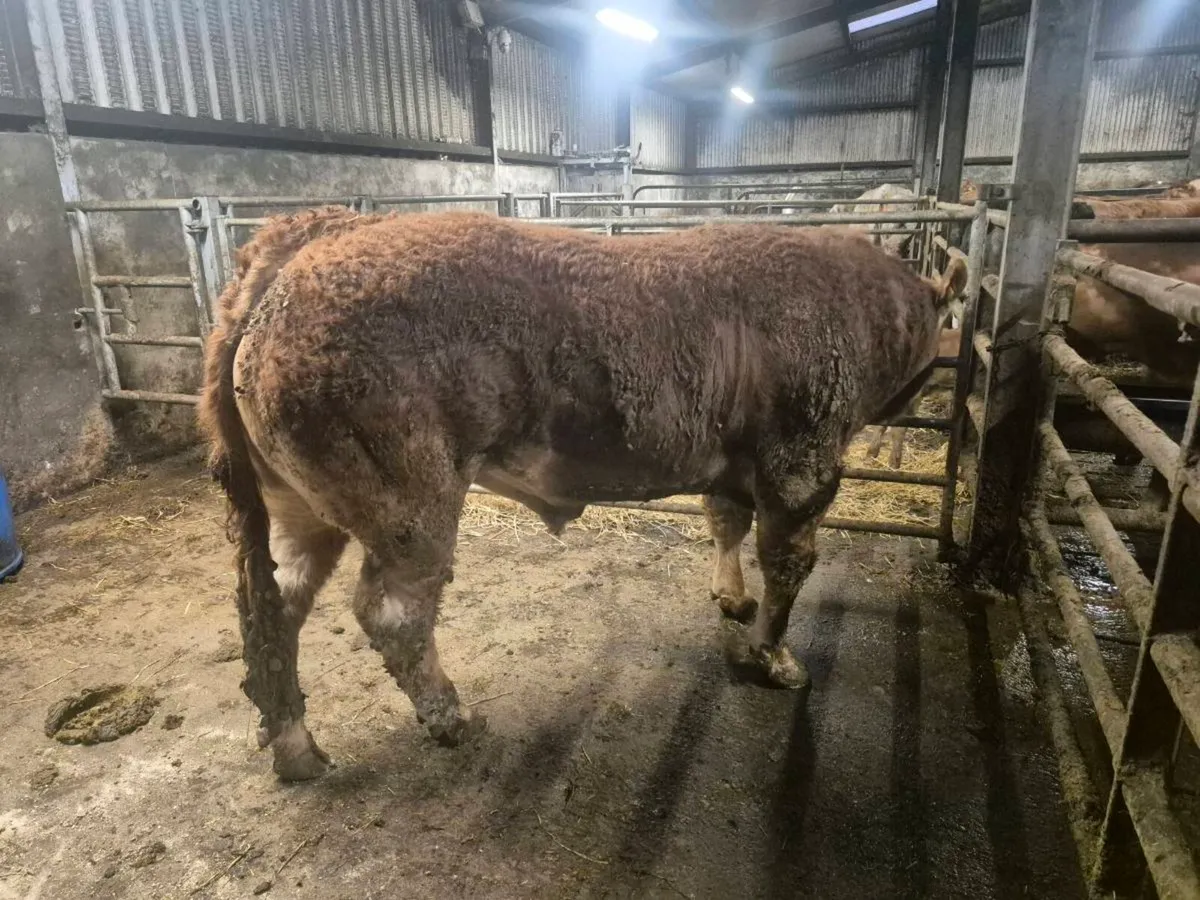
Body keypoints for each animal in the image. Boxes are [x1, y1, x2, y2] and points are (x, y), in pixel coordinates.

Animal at [199, 207, 966, 781]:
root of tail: (295, 256)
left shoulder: (737, 464)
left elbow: (725, 522)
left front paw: (731, 598)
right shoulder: (800, 464)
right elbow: (789, 565)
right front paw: (775, 658)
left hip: (296, 506)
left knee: (274, 608)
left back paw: (297, 747)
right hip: (406, 503)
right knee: (392, 612)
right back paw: (450, 716)